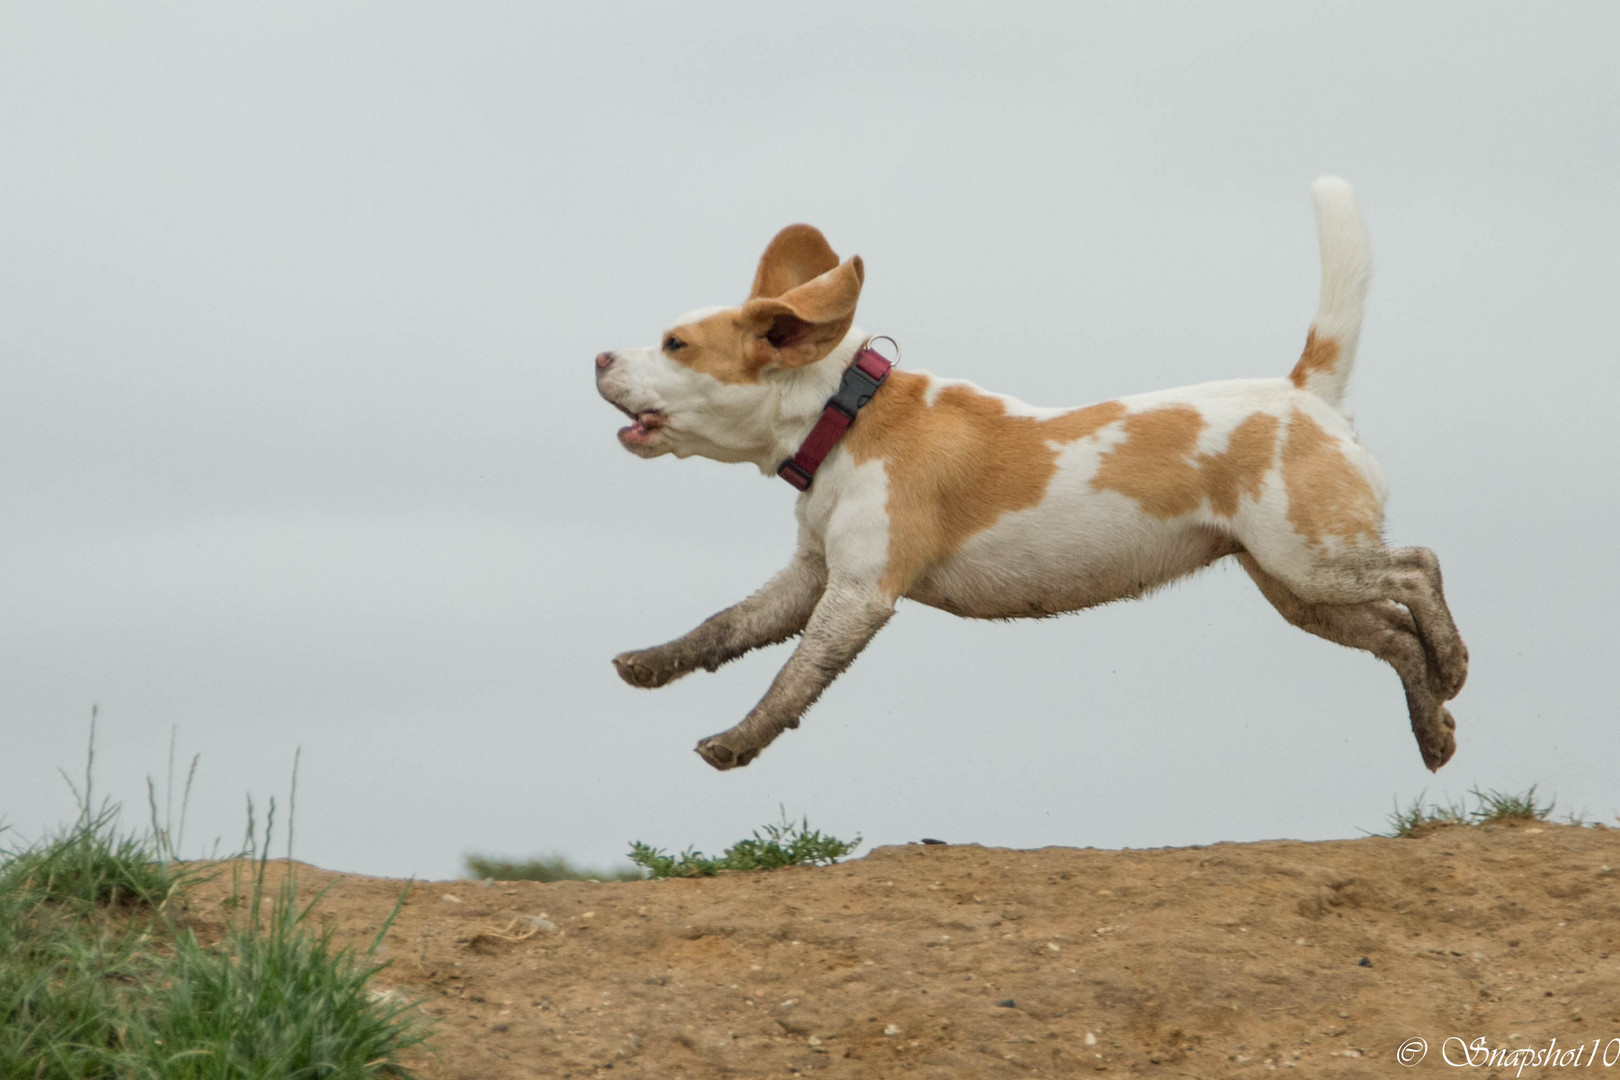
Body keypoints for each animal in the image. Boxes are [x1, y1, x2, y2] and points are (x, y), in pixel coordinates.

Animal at [596, 181, 1470, 777]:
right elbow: (726, 626)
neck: (848, 413)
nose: (600, 355)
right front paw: (649, 663)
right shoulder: (812, 574)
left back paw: (1455, 665)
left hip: (1311, 559)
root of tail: (1305, 392)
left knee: (1419, 569)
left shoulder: (859, 594)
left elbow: (792, 677)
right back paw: (1434, 730)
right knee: (1395, 635)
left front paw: (735, 742)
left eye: (675, 344)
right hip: (1300, 590)